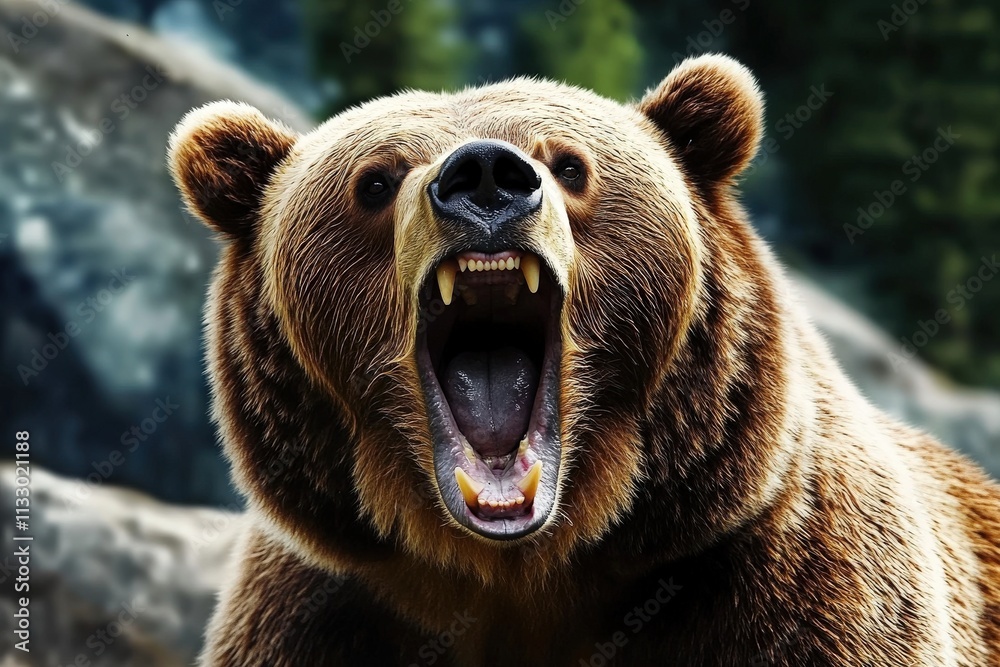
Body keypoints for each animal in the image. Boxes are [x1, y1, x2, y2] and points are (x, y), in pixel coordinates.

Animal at [168, 54, 1000, 666]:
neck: (525, 572)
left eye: (570, 165)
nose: (484, 175)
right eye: (374, 180)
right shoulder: (326, 614)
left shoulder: (793, 584)